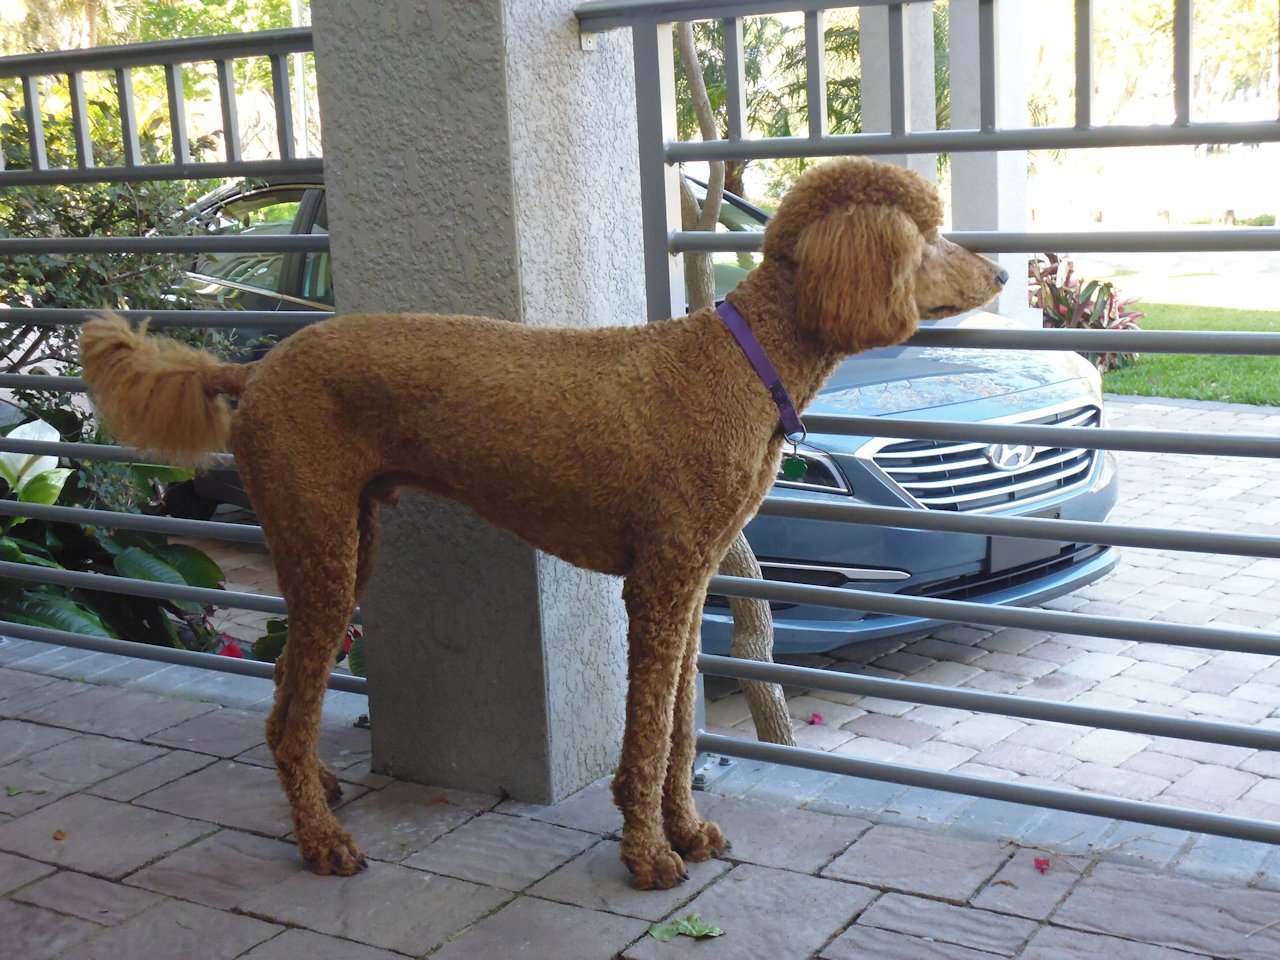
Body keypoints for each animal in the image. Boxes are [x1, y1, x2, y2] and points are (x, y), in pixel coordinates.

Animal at [79, 157, 1006, 889]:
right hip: (320, 546)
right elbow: (647, 735)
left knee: (287, 699)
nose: (1000, 276)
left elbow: (678, 729)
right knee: (284, 713)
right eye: (928, 237)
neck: (741, 365)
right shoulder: (658, 587)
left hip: (345, 537)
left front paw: (686, 830)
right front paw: (647, 853)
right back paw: (322, 840)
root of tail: (255, 371)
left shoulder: (689, 581)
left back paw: (320, 791)